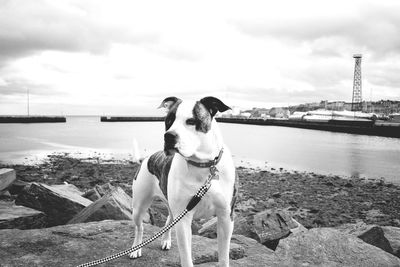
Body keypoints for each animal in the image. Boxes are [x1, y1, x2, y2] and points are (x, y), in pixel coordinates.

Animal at [130, 97, 238, 267]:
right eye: (168, 120)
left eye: (191, 121)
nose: (168, 136)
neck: (202, 165)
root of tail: (147, 158)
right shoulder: (184, 220)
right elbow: (186, 257)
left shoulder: (226, 217)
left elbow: (224, 256)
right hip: (139, 206)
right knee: (139, 227)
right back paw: (136, 248)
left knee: (168, 220)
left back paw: (166, 240)